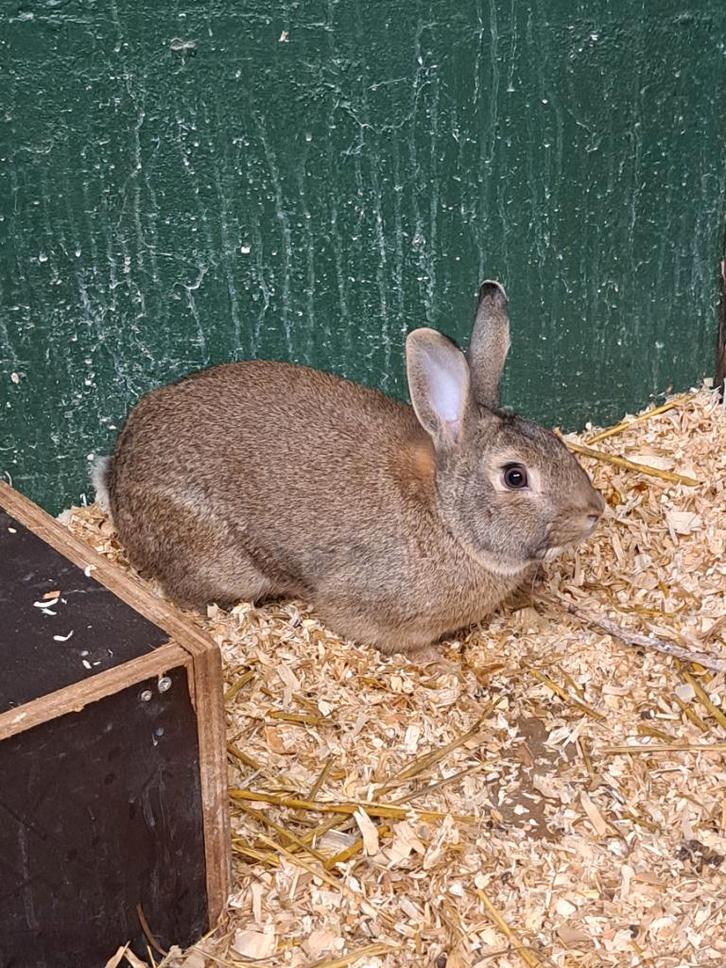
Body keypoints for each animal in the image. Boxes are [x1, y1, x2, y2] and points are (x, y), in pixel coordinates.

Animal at [101, 281, 604, 654]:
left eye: (555, 440)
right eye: (515, 476)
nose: (594, 511)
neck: (445, 514)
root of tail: (118, 479)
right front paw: (435, 659)